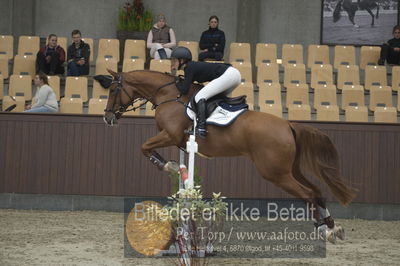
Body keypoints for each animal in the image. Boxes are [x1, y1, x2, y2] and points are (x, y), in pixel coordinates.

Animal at [101, 69, 358, 240]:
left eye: (113, 89)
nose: (107, 117)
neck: (169, 95)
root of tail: (288, 124)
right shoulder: (176, 140)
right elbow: (148, 148)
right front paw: (173, 166)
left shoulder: (170, 135)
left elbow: (144, 147)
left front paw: (168, 166)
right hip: (290, 169)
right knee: (316, 191)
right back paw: (330, 226)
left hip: (275, 173)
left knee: (308, 194)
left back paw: (325, 229)